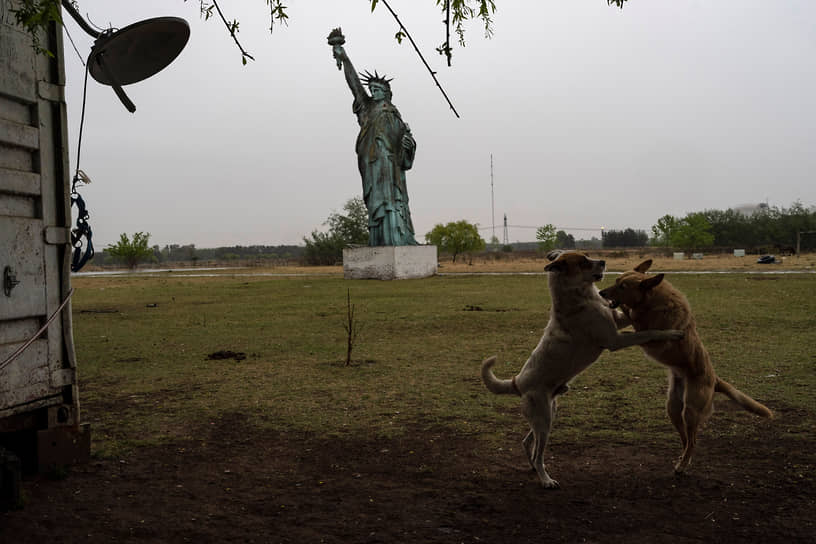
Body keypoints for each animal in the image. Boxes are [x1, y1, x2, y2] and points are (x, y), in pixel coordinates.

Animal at [482, 252, 684, 488]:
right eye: (583, 262)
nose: (604, 262)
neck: (582, 298)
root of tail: (518, 382)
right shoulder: (615, 340)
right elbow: (649, 332)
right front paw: (672, 333)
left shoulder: (616, 320)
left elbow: (631, 314)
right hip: (543, 420)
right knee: (538, 453)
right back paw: (545, 479)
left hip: (549, 414)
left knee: (527, 442)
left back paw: (533, 467)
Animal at [600, 260, 772, 472]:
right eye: (616, 281)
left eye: (623, 287)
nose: (601, 293)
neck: (652, 301)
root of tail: (714, 380)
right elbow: (632, 316)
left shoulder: (651, 337)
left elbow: (637, 321)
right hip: (673, 409)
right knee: (685, 440)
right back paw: (682, 459)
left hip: (690, 411)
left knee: (693, 441)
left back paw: (682, 466)